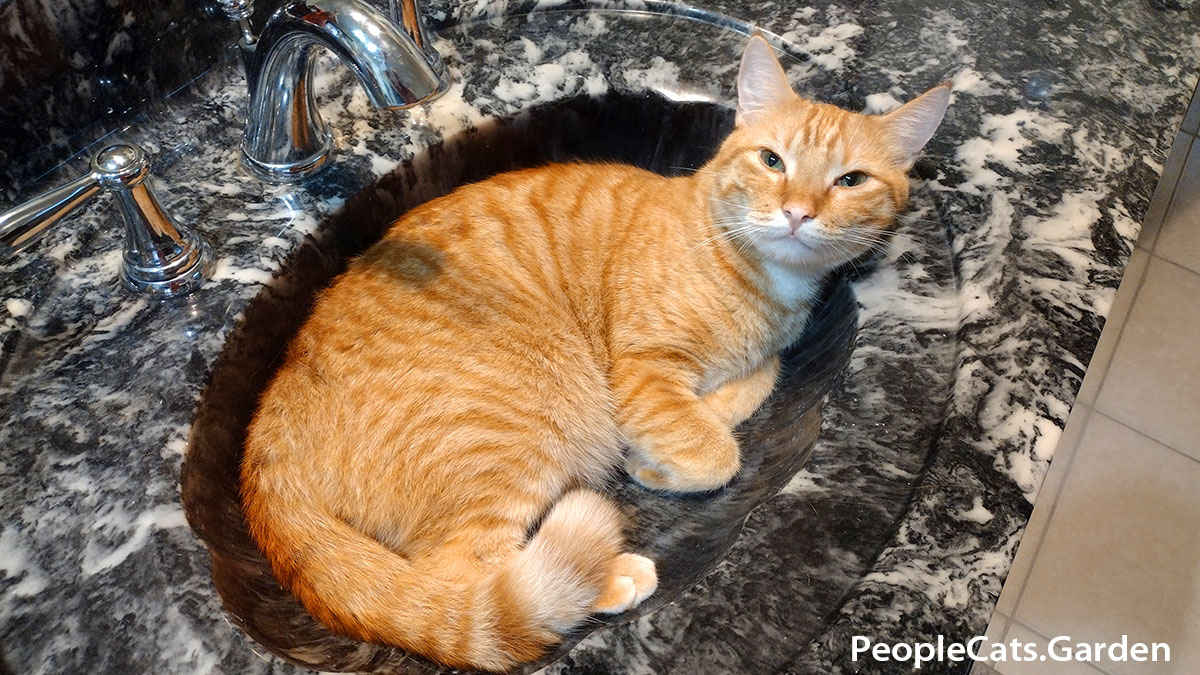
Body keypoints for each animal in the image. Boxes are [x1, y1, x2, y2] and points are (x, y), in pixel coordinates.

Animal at [241, 35, 945, 667]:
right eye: (773, 161)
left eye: (851, 180)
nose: (798, 213)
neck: (762, 279)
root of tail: (267, 434)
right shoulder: (640, 370)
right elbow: (717, 454)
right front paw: (656, 462)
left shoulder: (759, 359)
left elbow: (746, 392)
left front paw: (662, 448)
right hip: (518, 426)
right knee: (460, 584)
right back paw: (605, 576)